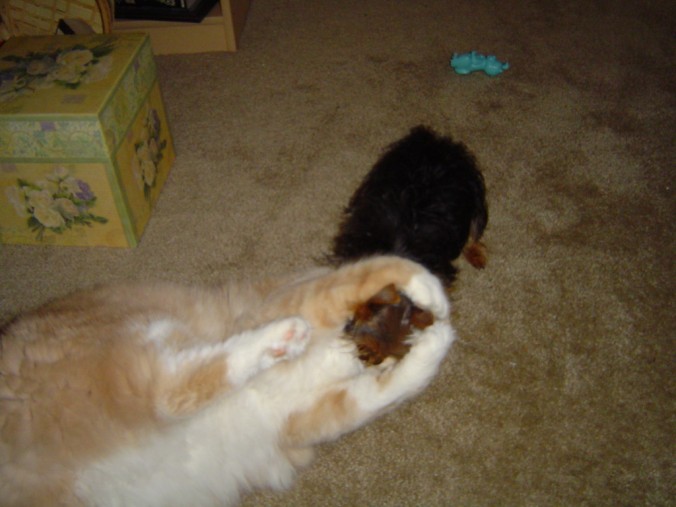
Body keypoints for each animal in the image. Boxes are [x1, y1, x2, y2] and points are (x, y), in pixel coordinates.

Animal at [0, 255, 454, 507]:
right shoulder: (279, 307)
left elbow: (389, 390)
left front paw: (436, 341)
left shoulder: (299, 418)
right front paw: (430, 289)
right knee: (172, 391)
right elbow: (370, 269)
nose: (358, 355)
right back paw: (283, 337)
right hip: (141, 341)